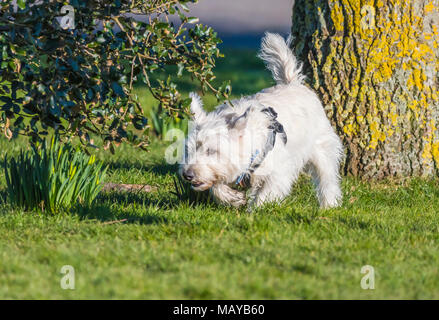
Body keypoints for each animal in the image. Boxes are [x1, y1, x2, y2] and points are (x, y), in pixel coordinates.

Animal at [180, 31, 344, 208]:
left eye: (211, 151)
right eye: (188, 150)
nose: (187, 174)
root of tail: (292, 83)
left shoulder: (279, 170)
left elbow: (265, 194)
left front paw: (254, 209)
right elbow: (217, 187)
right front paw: (233, 197)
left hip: (322, 147)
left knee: (327, 177)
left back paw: (329, 204)